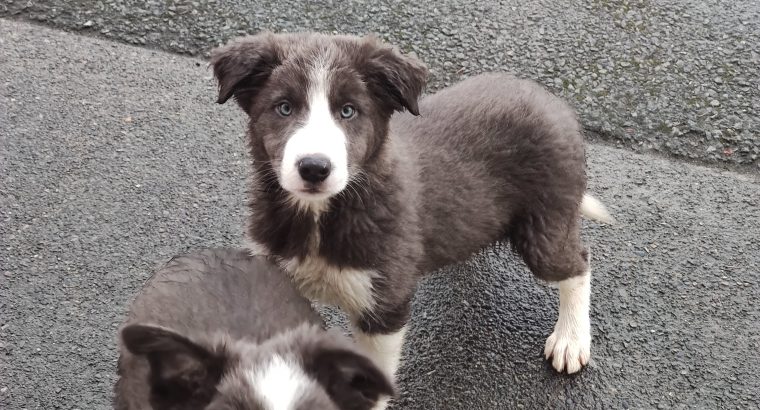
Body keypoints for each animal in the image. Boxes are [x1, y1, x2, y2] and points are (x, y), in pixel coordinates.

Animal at [211, 32, 616, 398]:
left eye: (348, 111)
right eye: (284, 108)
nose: (314, 168)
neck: (319, 216)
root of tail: (552, 101)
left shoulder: (385, 305)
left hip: (545, 222)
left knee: (578, 263)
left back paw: (570, 340)